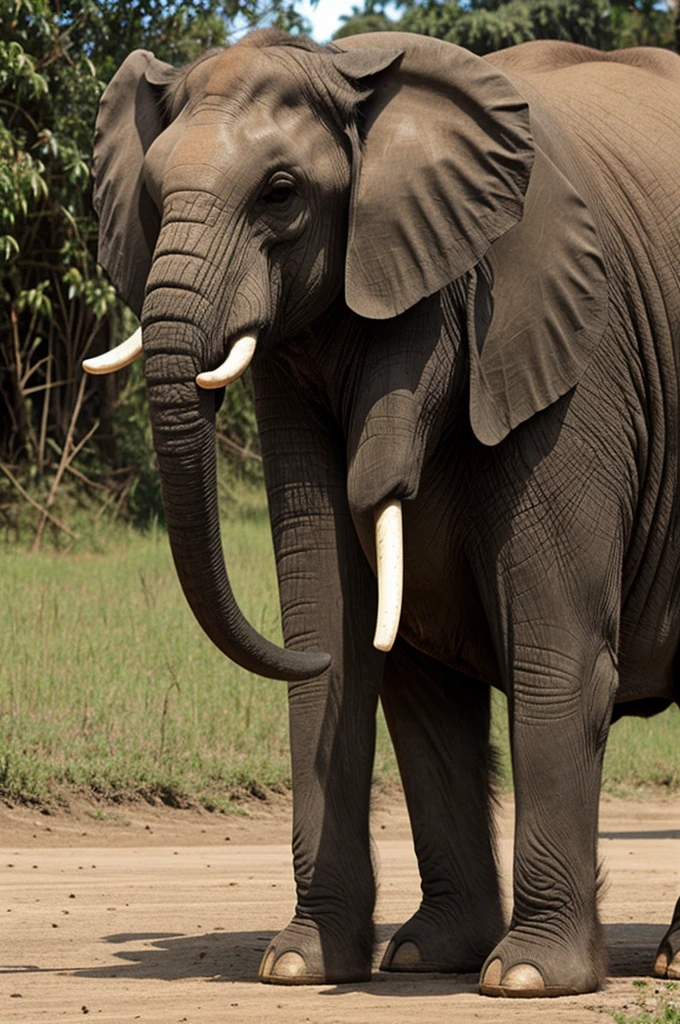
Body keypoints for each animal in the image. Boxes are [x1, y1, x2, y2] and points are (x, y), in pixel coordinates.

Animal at [82, 28, 680, 995]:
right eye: (151, 194)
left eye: (281, 193)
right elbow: (372, 646)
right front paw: (322, 963)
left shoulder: (575, 344)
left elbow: (556, 650)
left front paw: (524, 979)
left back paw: (670, 961)